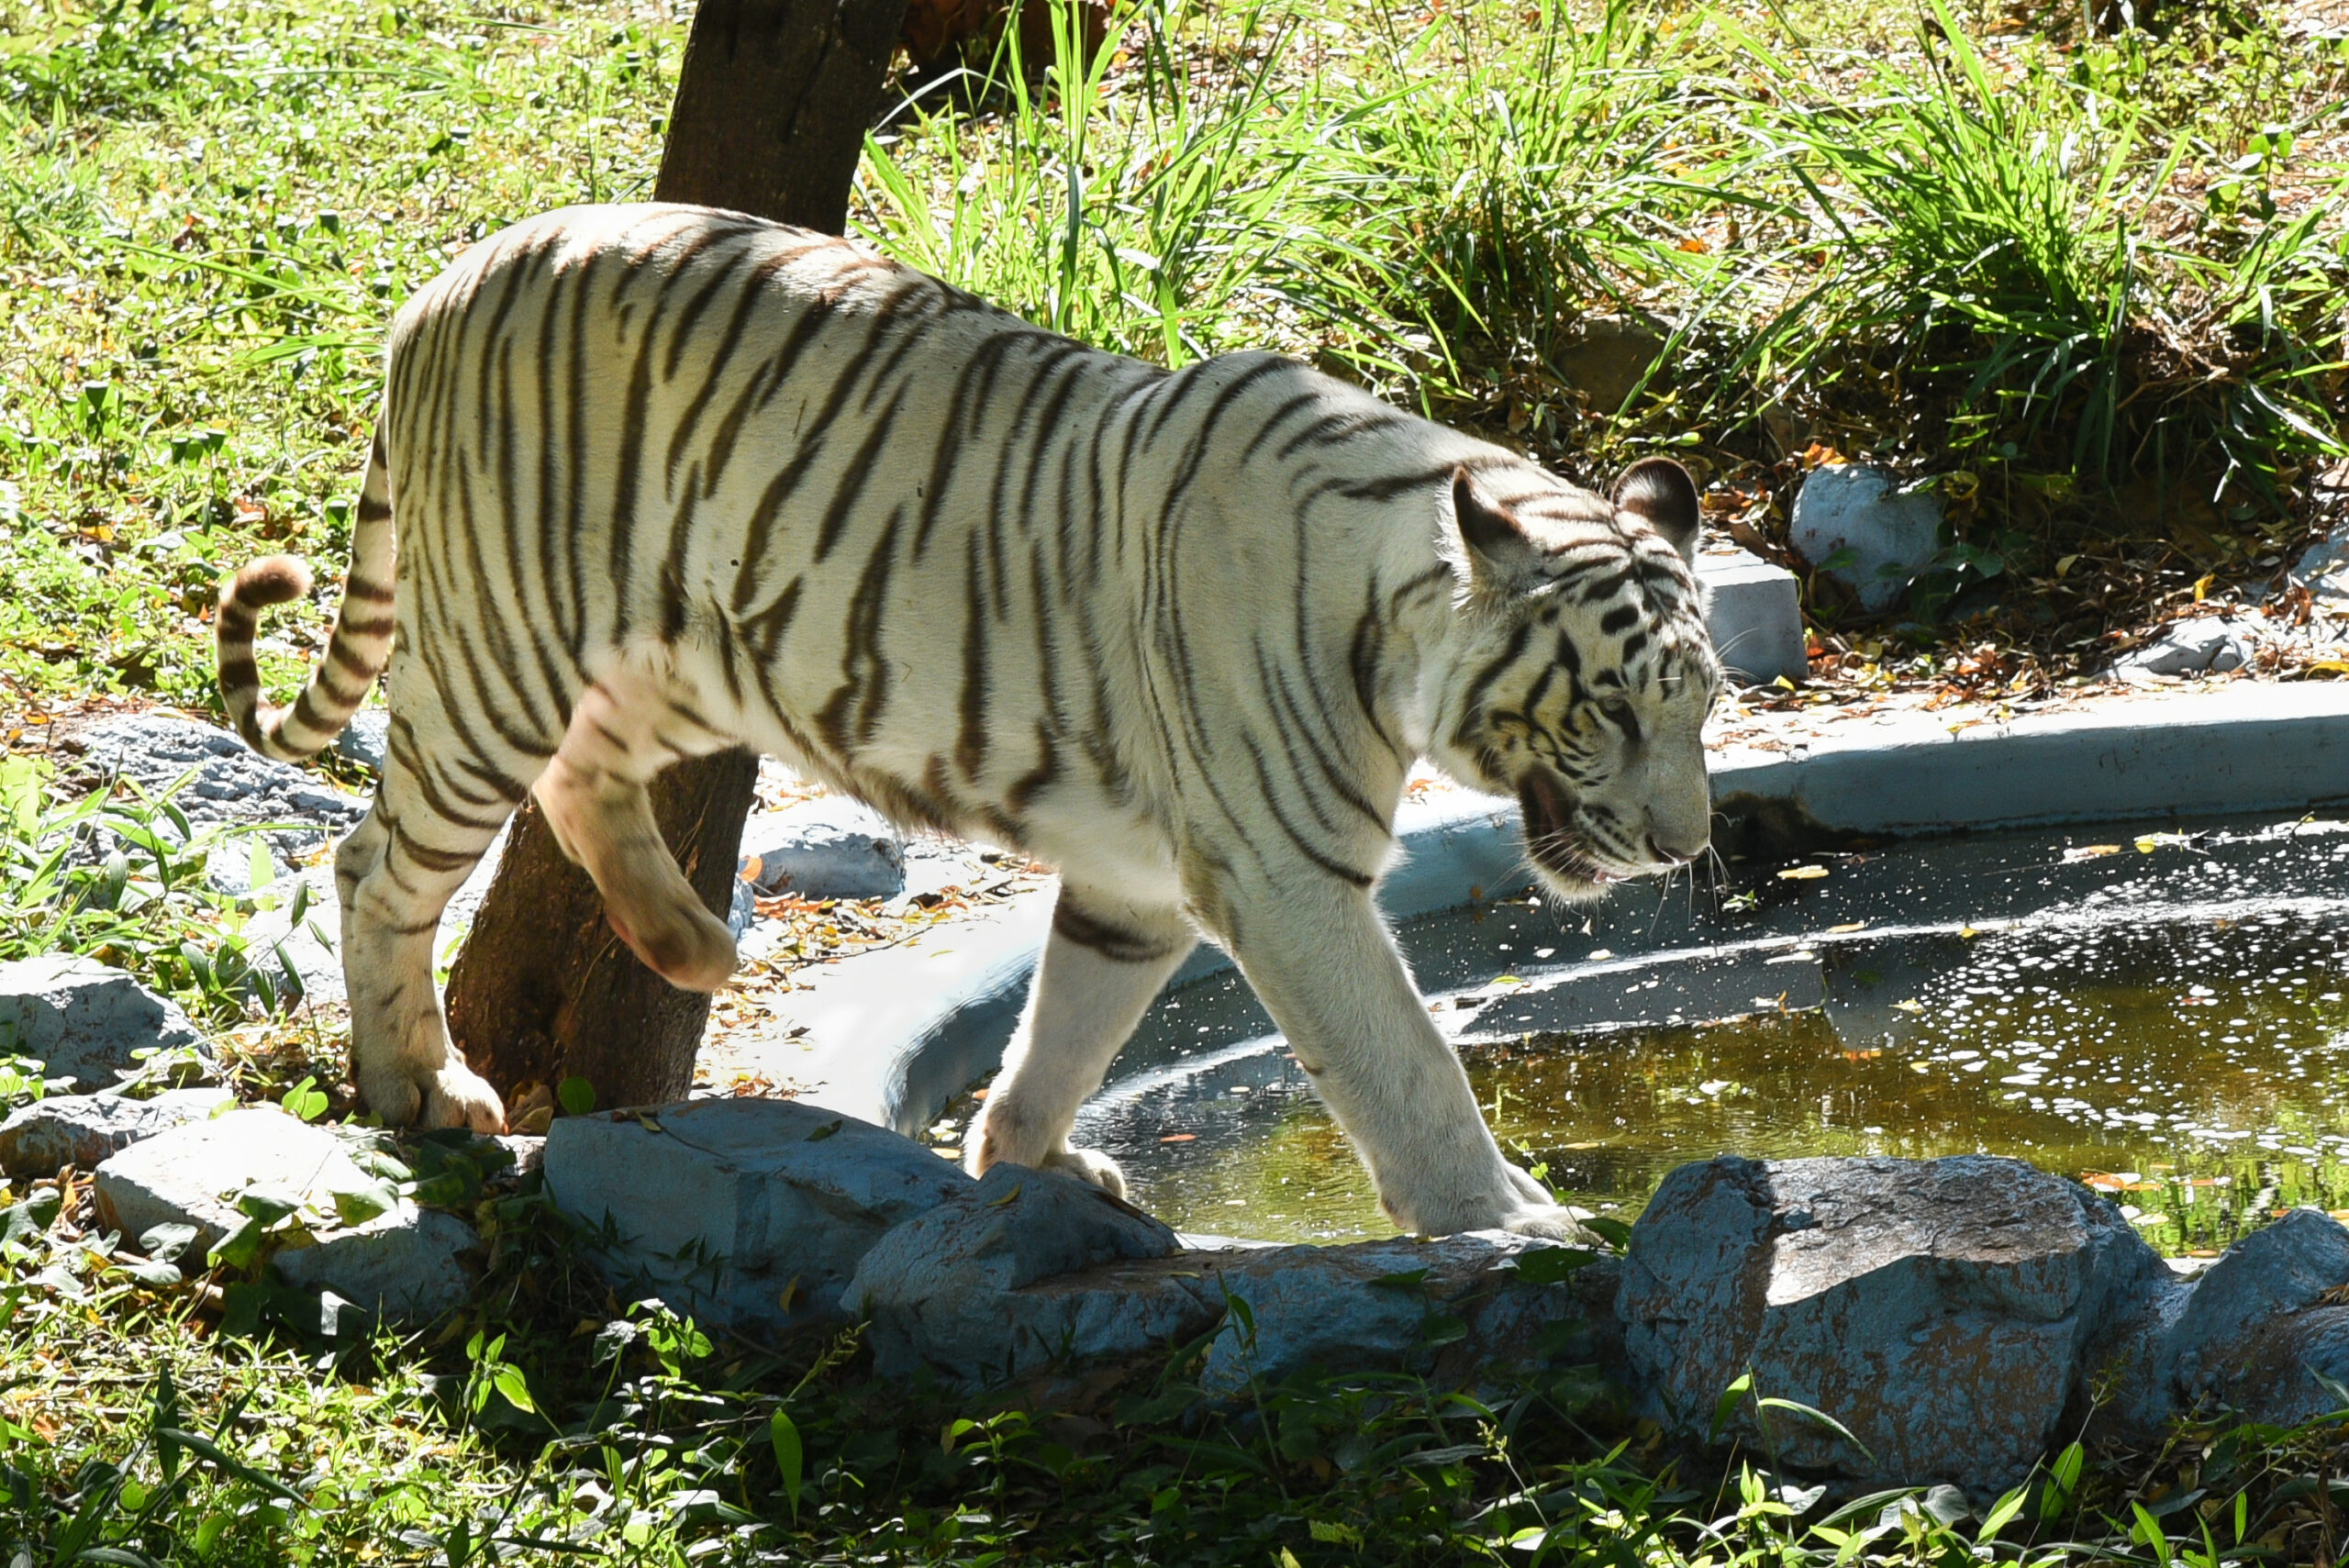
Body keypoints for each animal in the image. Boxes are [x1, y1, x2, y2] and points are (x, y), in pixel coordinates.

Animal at [215, 203, 1718, 1240]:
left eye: (1702, 711)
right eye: (1605, 711)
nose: (1684, 846)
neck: (1392, 609)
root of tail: (446, 279)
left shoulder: (1138, 880)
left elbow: (1068, 1026)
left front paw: (1030, 1160)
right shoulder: (1289, 879)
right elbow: (1402, 1060)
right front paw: (1511, 1219)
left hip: (687, 657)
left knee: (586, 777)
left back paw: (692, 944)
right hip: (501, 656)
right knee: (377, 862)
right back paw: (420, 1086)